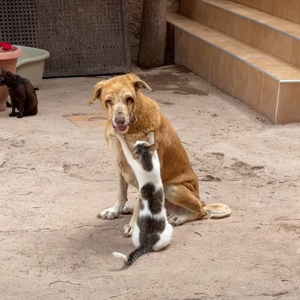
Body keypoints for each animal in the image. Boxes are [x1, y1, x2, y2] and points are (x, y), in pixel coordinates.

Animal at [88, 73, 231, 237]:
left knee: (202, 212)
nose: (120, 120)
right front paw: (114, 211)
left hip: (171, 188)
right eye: (108, 101)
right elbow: (121, 193)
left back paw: (180, 217)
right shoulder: (120, 167)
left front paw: (133, 226)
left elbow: (137, 204)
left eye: (129, 99)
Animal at [113, 132, 173, 266]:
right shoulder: (156, 161)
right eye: (140, 144)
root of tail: (147, 242)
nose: (138, 141)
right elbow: (154, 150)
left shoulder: (133, 161)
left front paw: (120, 136)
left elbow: (126, 149)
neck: (147, 163)